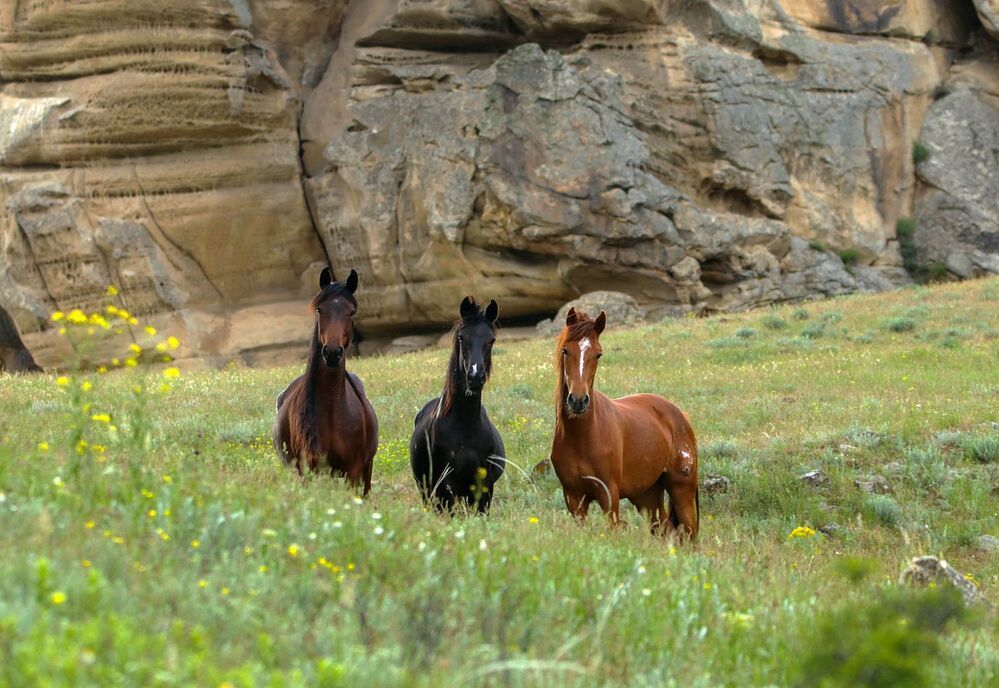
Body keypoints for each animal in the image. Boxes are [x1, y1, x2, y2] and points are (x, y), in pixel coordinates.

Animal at [273, 267, 378, 494]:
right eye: (320, 310)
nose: (331, 353)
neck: (332, 413)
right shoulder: (310, 470)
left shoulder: (353, 471)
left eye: (351, 312)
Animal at [410, 297, 505, 513]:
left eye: (491, 340)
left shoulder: (483, 488)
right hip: (428, 491)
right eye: (462, 337)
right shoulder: (445, 488)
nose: (475, 377)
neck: (465, 428)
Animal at [549, 307, 699, 540]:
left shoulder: (608, 495)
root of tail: (680, 416)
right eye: (566, 351)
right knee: (666, 530)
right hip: (647, 495)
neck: (582, 437)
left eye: (598, 354)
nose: (578, 401)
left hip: (682, 490)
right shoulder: (574, 499)